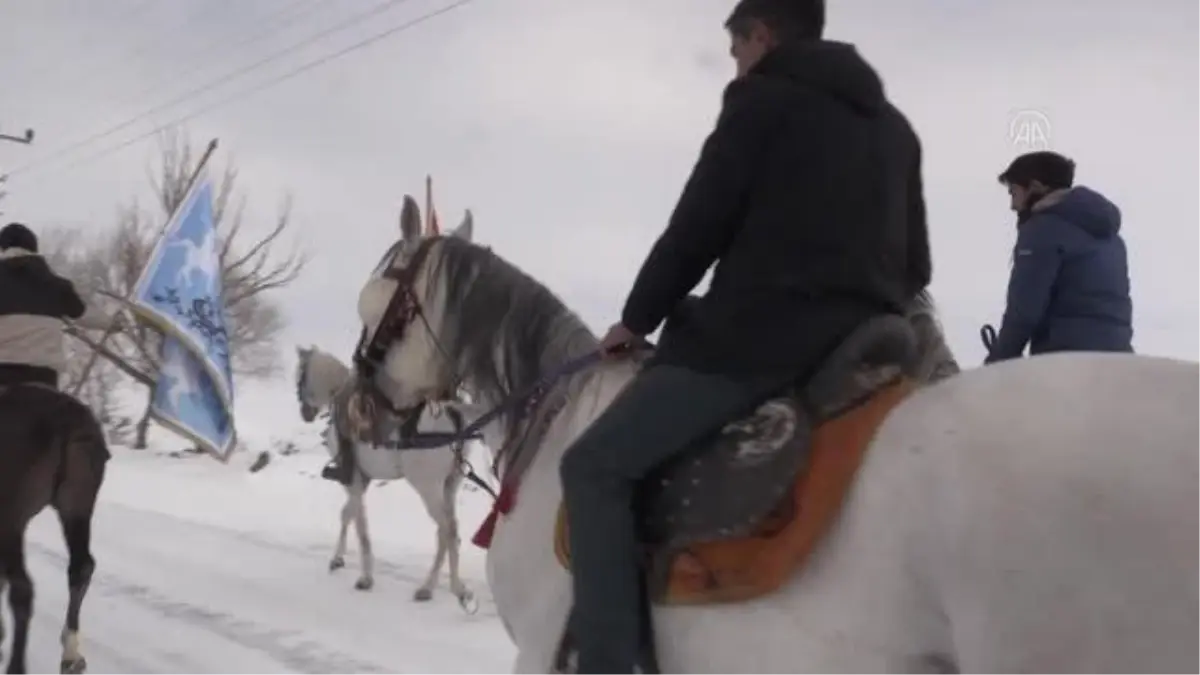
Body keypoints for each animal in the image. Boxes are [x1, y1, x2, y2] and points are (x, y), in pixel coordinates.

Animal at [0, 384, 109, 672]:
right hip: (77, 506)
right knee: (82, 567)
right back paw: (70, 654)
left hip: (11, 519)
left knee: (22, 589)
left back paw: (16, 666)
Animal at [292, 341, 494, 605]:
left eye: (300, 377)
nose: (305, 413)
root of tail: (455, 420)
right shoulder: (361, 481)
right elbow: (347, 514)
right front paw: (338, 559)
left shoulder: (353, 480)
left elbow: (360, 526)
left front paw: (365, 578)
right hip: (450, 484)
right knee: (448, 530)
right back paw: (438, 588)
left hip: (427, 487)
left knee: (447, 530)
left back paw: (447, 588)